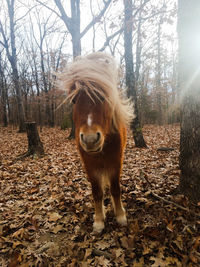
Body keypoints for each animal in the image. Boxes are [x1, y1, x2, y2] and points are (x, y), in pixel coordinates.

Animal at [60, 52, 134, 232]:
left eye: (102, 96)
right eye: (74, 100)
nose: (90, 139)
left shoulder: (116, 162)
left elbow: (115, 189)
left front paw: (120, 215)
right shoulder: (90, 166)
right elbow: (97, 192)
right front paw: (99, 220)